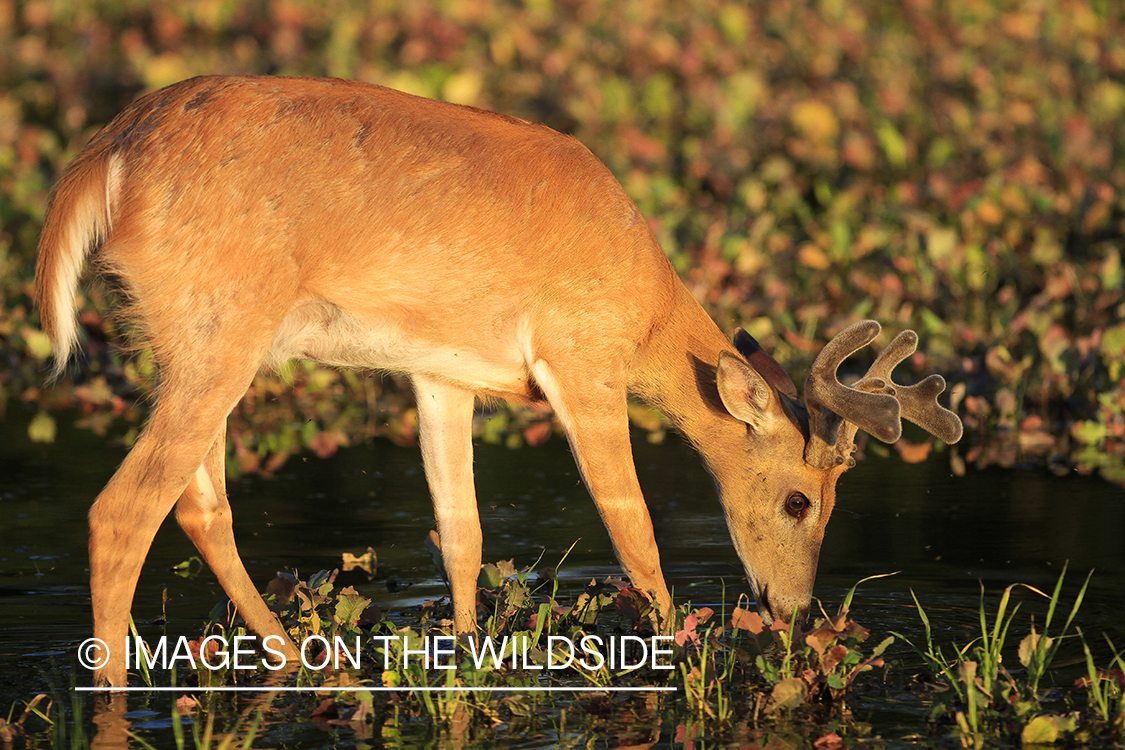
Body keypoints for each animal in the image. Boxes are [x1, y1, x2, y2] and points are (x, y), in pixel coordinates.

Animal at [35, 75, 962, 689]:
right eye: (799, 500)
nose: (794, 610)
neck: (646, 309)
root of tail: (109, 155)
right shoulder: (581, 356)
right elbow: (632, 528)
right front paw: (676, 653)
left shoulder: (438, 374)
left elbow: (463, 533)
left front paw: (467, 661)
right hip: (221, 330)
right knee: (123, 511)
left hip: (182, 345)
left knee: (199, 507)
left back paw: (308, 665)